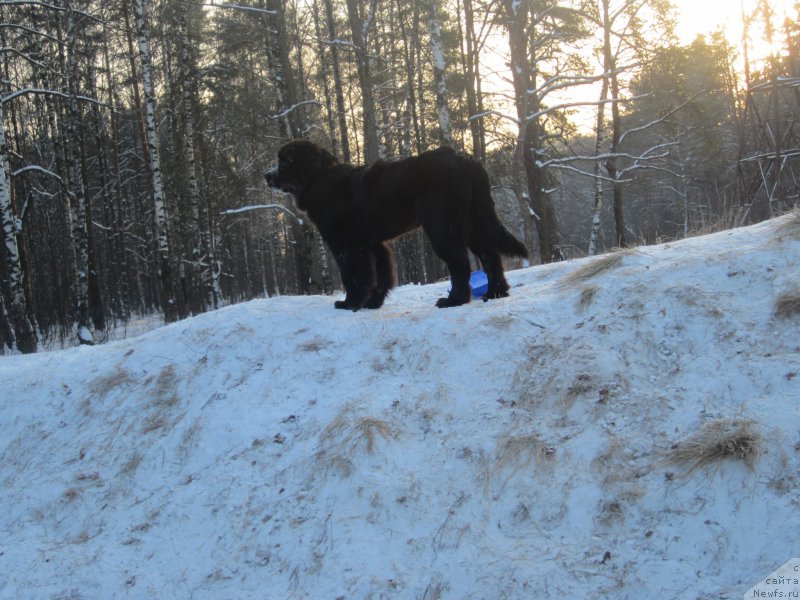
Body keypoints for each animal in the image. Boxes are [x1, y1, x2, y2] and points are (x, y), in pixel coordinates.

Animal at [268, 140, 528, 310]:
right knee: (490, 256)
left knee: (460, 263)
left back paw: (454, 300)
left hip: (442, 225)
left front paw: (350, 303)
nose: (266, 175)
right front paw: (373, 302)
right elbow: (382, 274)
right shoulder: (373, 243)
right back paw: (495, 293)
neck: (319, 178)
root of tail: (468, 161)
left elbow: (353, 276)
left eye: (285, 161)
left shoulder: (346, 245)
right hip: (475, 221)